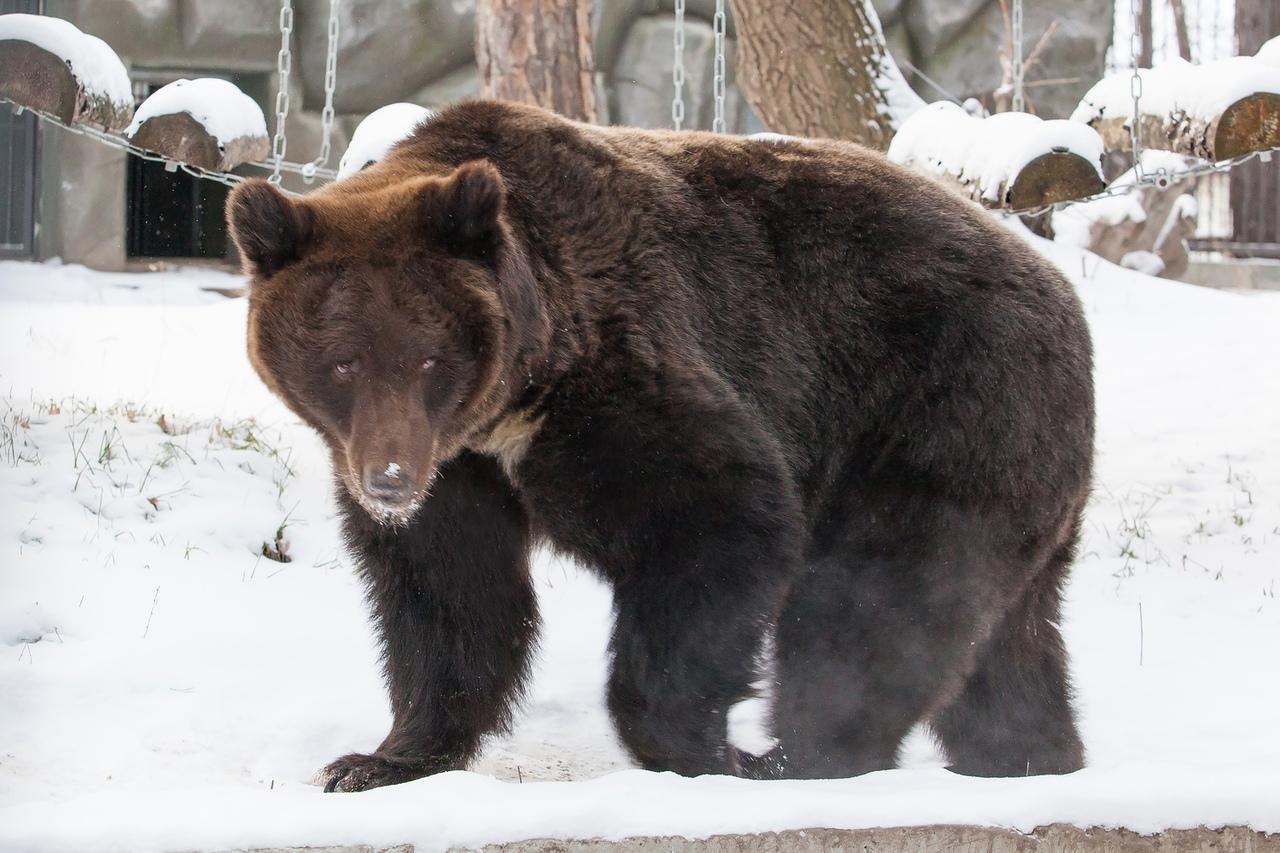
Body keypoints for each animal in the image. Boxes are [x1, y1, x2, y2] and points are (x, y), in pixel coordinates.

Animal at [227, 97, 1090, 788]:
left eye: (430, 357)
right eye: (342, 361)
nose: (389, 478)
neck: (517, 399)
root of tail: (1062, 291)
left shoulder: (620, 383)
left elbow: (719, 517)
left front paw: (699, 748)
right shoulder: (465, 471)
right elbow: (450, 595)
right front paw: (378, 759)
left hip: (942, 403)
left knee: (879, 594)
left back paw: (801, 756)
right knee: (1006, 642)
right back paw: (1032, 755)